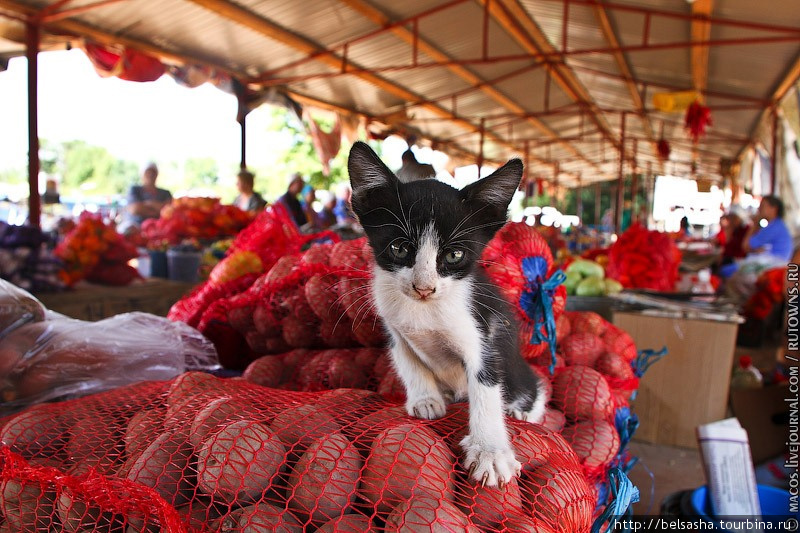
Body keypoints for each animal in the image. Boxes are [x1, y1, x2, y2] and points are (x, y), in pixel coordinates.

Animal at [350, 140, 552, 486]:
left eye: (455, 255)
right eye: (399, 248)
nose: (424, 287)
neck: (424, 310)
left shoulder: (483, 332)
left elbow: (486, 385)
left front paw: (490, 451)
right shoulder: (394, 329)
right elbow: (408, 361)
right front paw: (424, 399)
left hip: (518, 370)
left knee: (530, 385)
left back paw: (523, 411)